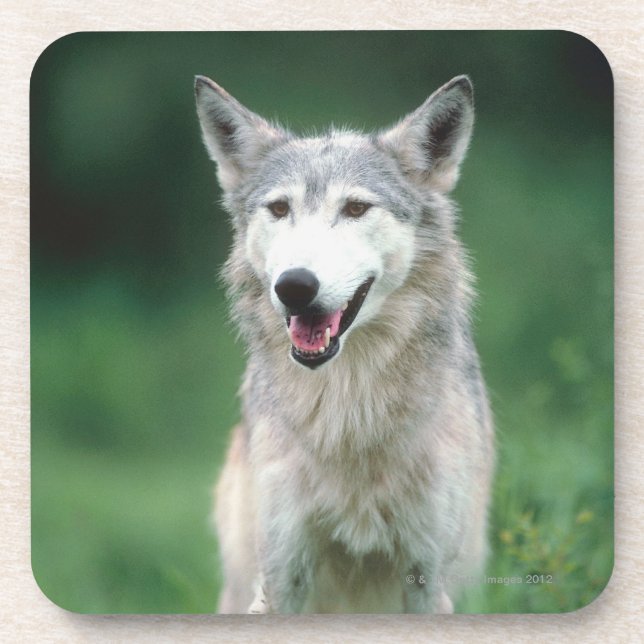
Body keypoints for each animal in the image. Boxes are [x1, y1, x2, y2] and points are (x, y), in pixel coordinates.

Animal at [195, 74, 494, 614]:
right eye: (280, 209)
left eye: (355, 208)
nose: (294, 286)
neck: (347, 409)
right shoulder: (282, 577)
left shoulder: (426, 580)